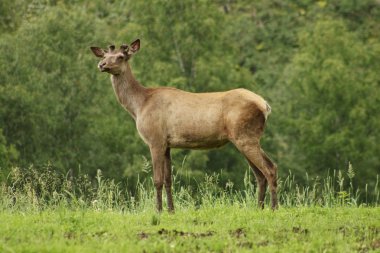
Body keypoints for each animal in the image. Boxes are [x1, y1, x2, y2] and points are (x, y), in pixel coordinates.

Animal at [90, 38, 278, 212]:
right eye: (105, 55)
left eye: (121, 56)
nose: (101, 65)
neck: (139, 106)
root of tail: (265, 106)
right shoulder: (167, 144)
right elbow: (168, 180)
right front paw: (171, 210)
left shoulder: (155, 139)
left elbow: (157, 180)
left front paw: (158, 211)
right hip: (245, 137)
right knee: (261, 174)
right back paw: (259, 208)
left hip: (245, 136)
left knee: (269, 169)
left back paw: (273, 208)